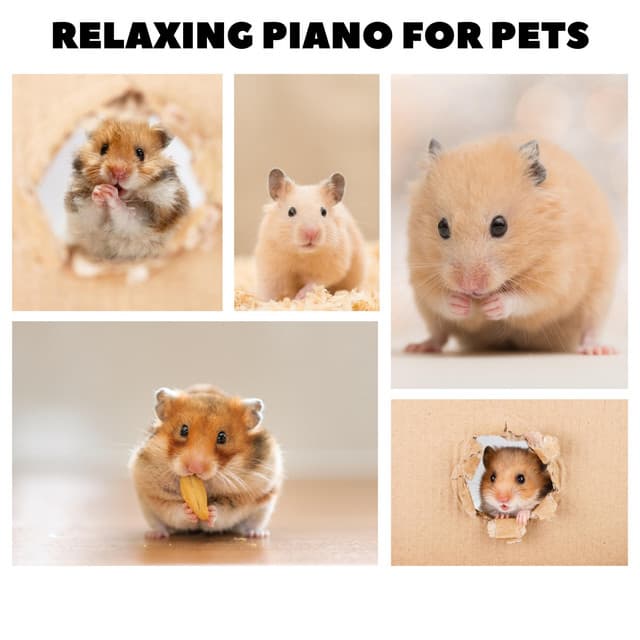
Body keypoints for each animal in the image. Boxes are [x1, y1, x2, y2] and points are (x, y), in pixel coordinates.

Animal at [65, 119, 189, 261]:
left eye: (140, 153)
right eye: (103, 148)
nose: (117, 172)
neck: (127, 197)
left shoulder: (149, 219)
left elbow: (127, 216)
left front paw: (110, 194)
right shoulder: (81, 212)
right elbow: (91, 212)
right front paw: (100, 191)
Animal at [129, 384, 283, 539]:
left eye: (222, 437)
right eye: (183, 430)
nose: (195, 468)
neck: (206, 484)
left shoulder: (241, 497)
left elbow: (224, 511)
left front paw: (211, 512)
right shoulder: (155, 494)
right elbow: (173, 509)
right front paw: (188, 510)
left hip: (263, 509)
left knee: (251, 525)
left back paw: (258, 534)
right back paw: (155, 535)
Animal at [254, 168, 367, 301]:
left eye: (324, 212)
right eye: (291, 211)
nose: (311, 233)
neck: (302, 255)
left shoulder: (332, 266)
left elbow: (314, 283)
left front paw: (299, 297)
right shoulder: (271, 266)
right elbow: (271, 289)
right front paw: (266, 302)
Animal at [406, 136, 619, 354]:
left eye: (500, 225)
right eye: (442, 227)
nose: (469, 287)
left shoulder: (556, 275)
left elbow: (529, 298)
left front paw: (492, 305)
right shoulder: (419, 268)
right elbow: (437, 298)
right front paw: (461, 303)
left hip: (599, 298)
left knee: (590, 329)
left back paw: (597, 350)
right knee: (438, 333)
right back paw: (418, 347)